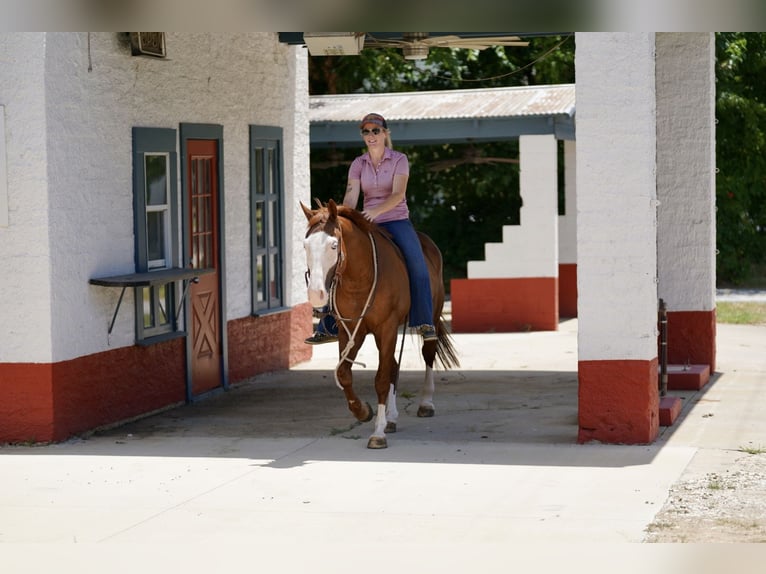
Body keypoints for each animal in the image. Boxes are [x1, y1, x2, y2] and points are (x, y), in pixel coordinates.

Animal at [304, 201, 460, 450]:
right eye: (305, 245)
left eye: (333, 245)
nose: (316, 294)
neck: (359, 277)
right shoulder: (350, 330)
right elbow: (345, 374)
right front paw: (363, 412)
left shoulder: (386, 328)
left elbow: (381, 380)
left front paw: (377, 433)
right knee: (393, 366)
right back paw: (392, 418)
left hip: (431, 318)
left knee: (428, 353)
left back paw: (425, 403)